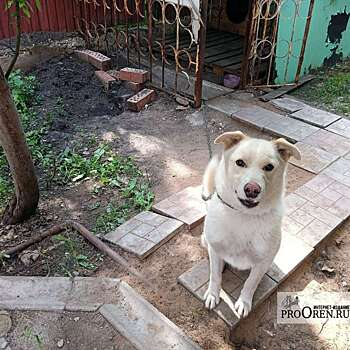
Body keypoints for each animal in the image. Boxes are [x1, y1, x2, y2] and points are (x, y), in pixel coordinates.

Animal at [202, 131, 300, 318]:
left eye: (269, 167)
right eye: (240, 162)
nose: (252, 190)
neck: (244, 215)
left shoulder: (262, 262)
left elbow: (250, 283)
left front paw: (244, 302)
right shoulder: (215, 248)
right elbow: (214, 276)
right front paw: (213, 294)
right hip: (205, 240)